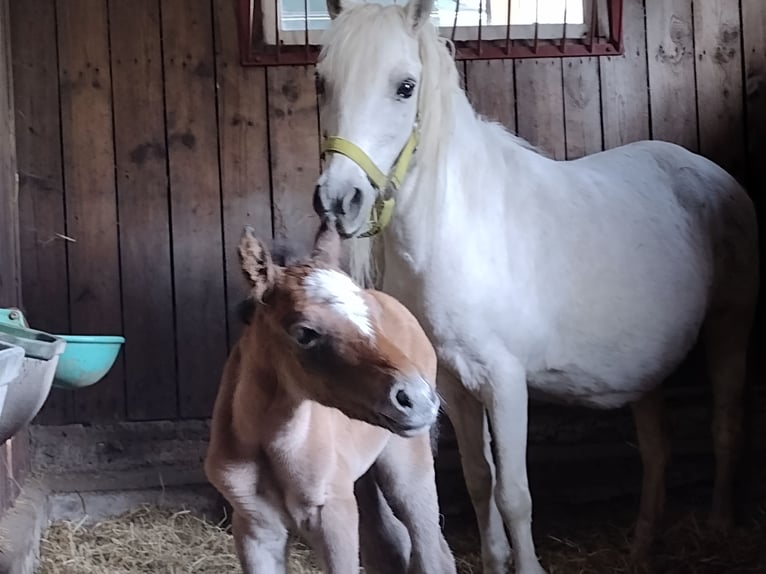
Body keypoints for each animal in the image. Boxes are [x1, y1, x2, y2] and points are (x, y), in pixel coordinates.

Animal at [204, 220, 457, 573]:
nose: (418, 398)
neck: (271, 443)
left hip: (407, 460)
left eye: (371, 315)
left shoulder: (335, 516)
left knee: (429, 549)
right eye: (304, 333)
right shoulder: (255, 528)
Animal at [311, 1, 760, 572]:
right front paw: (494, 559)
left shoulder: (504, 384)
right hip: (649, 368)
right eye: (323, 81)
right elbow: (479, 481)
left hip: (731, 325)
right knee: (657, 450)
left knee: (726, 424)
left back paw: (720, 526)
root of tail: (715, 176)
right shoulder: (452, 386)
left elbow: (514, 494)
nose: (338, 200)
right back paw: (642, 545)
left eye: (405, 87)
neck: (459, 230)